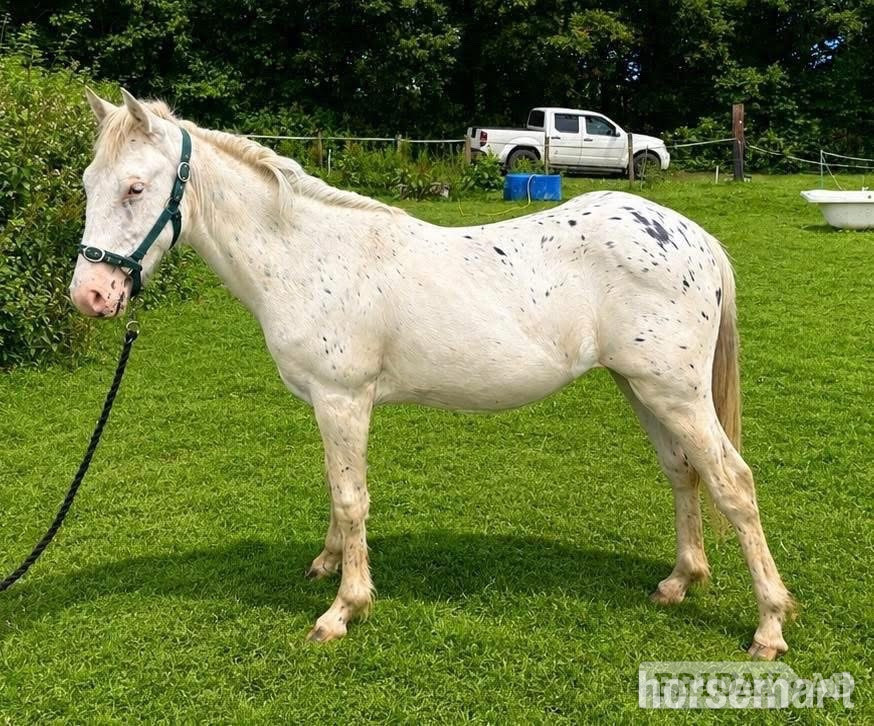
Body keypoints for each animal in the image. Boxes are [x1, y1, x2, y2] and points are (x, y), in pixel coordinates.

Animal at [69, 89, 794, 659]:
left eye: (135, 188)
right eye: (86, 183)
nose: (92, 296)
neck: (306, 253)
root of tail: (693, 236)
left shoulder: (343, 399)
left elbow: (351, 497)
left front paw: (344, 609)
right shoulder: (331, 405)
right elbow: (336, 487)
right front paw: (328, 562)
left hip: (676, 393)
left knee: (733, 483)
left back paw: (768, 627)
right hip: (644, 388)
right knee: (683, 472)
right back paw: (679, 582)